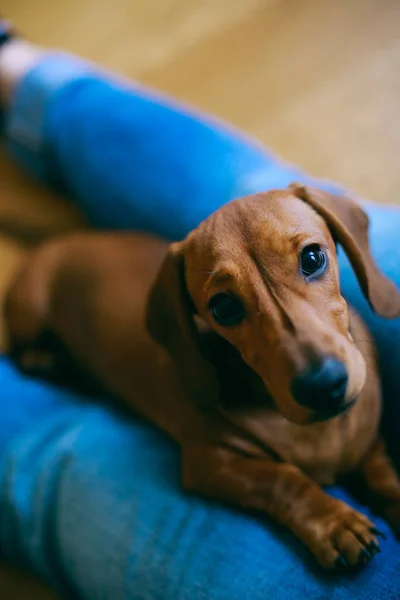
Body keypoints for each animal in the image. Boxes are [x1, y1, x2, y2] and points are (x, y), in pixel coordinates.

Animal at [4, 184, 400, 572]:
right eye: (223, 307)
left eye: (313, 258)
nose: (323, 387)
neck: (321, 434)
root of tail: (61, 240)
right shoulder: (209, 461)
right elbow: (281, 478)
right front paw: (333, 522)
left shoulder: (370, 444)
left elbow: (384, 476)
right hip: (29, 311)